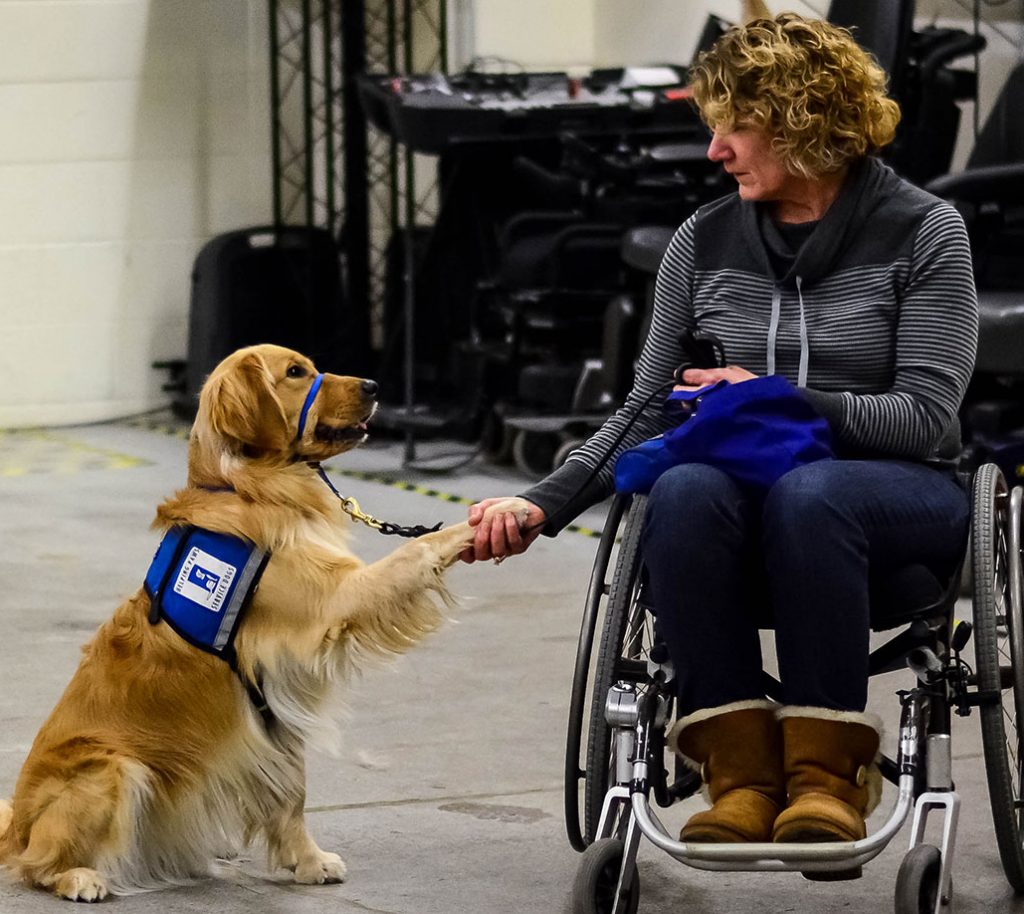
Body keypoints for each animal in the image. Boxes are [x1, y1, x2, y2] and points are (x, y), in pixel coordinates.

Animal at [0, 341, 471, 900]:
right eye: (296, 373)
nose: (375, 386)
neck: (247, 487)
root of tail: (16, 826)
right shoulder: (334, 602)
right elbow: (416, 549)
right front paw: (480, 522)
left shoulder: (274, 707)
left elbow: (291, 790)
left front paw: (307, 860)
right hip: (110, 768)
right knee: (35, 864)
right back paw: (79, 877)